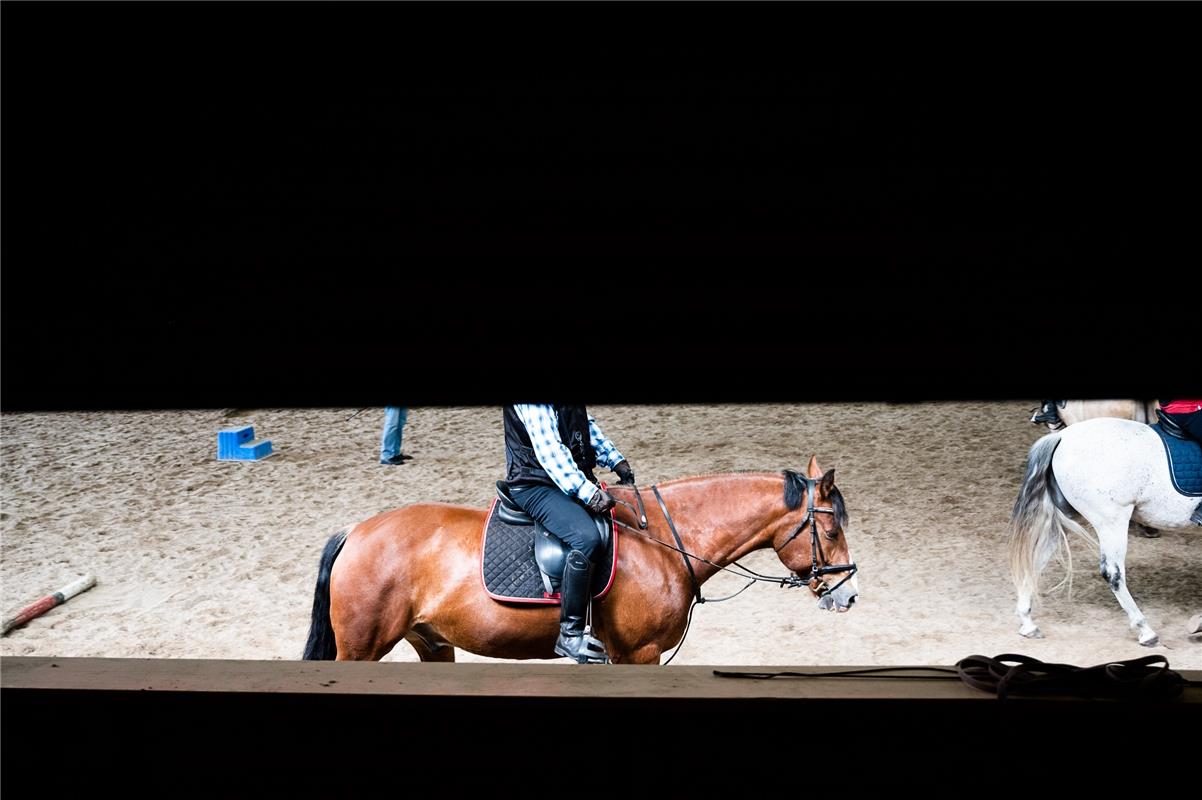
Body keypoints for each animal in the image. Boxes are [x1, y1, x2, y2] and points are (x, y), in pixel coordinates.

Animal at [305, 454, 860, 658]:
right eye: (832, 528)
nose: (850, 594)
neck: (665, 542)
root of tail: (356, 532)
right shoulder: (638, 653)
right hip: (362, 647)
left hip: (433, 642)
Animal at [1009, 413, 1197, 643]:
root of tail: (1061, 437)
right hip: (1111, 521)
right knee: (1112, 573)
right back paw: (1145, 630)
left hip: (1064, 519)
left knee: (1037, 561)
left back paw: (1028, 623)